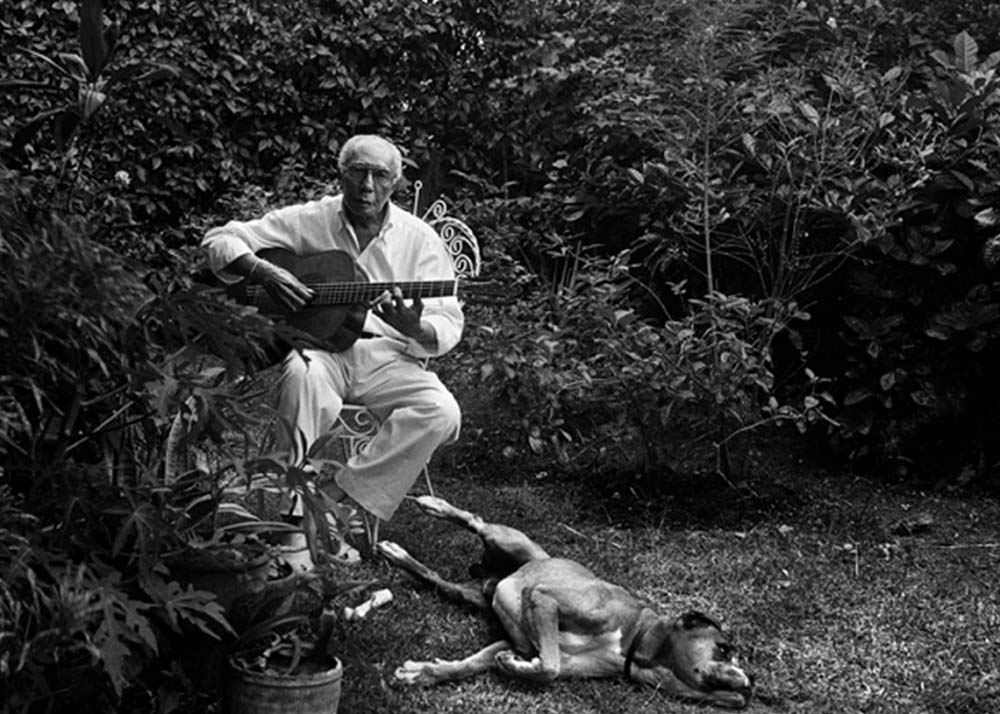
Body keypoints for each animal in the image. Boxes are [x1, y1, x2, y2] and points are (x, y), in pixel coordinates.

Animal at [377, 495, 753, 709]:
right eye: (724, 649)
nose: (750, 685)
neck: (637, 638)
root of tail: (489, 572)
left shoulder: (518, 642)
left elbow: (476, 664)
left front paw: (423, 673)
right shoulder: (544, 600)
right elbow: (550, 668)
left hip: (470, 592)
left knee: (437, 580)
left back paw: (399, 556)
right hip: (508, 540)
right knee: (475, 520)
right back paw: (434, 505)